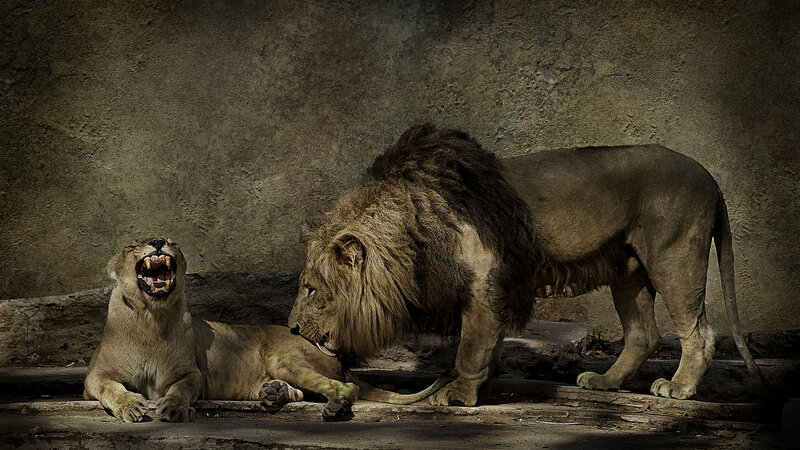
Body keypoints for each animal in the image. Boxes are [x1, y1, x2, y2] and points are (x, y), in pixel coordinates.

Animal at [84, 238, 450, 422]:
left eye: (172, 241)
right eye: (132, 245)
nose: (159, 242)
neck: (151, 318)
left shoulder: (191, 374)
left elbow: (179, 390)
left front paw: (173, 408)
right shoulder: (94, 378)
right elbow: (111, 388)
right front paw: (131, 405)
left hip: (282, 357)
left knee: (346, 387)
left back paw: (332, 407)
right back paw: (273, 393)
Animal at [288, 124, 765, 407]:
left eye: (312, 289)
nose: (291, 328)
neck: (411, 228)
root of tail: (709, 176)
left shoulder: (483, 280)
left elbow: (471, 346)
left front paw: (459, 393)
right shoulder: (497, 286)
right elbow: (490, 344)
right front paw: (484, 389)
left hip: (674, 258)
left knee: (699, 332)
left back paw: (679, 388)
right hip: (627, 272)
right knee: (644, 335)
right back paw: (605, 382)